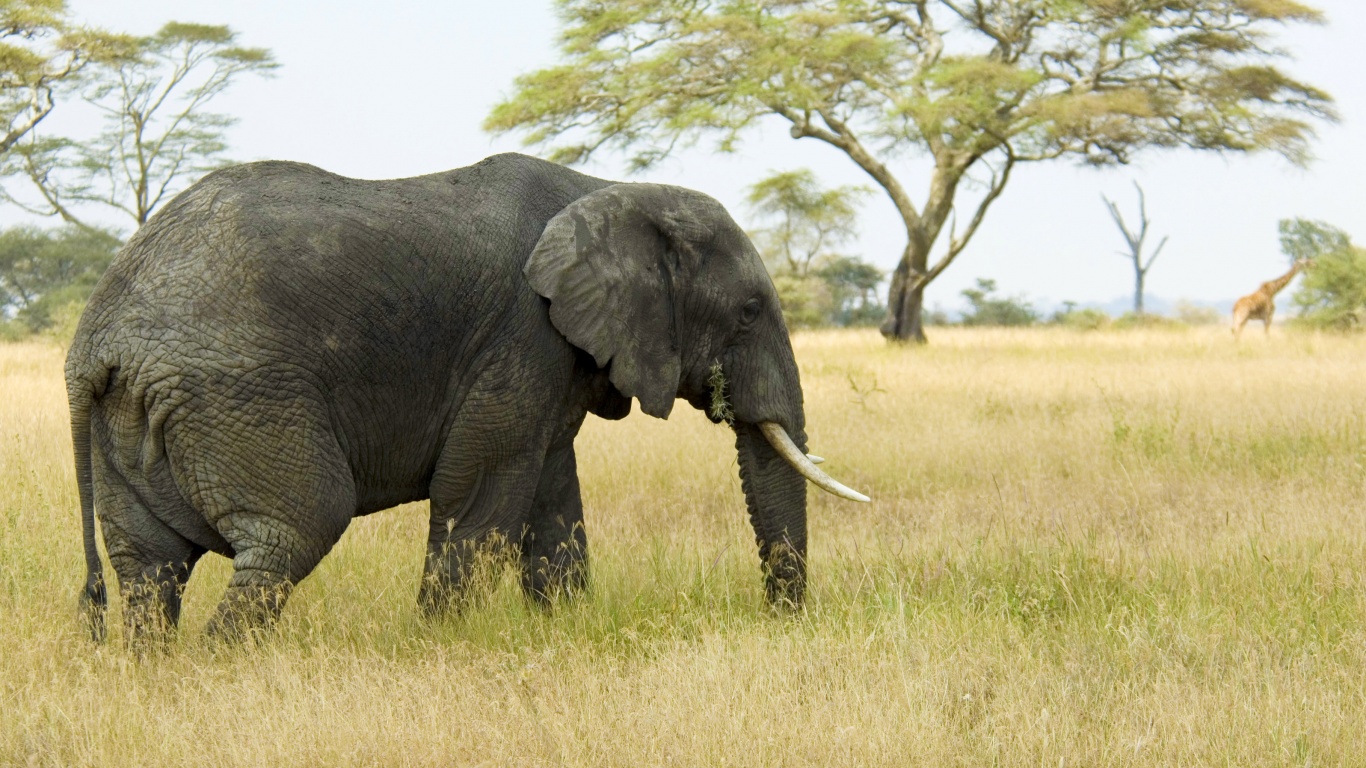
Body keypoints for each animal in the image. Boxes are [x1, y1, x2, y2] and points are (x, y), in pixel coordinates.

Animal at [65, 152, 867, 642]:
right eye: (748, 312)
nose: (781, 621)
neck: (609, 190)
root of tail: (95, 338)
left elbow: (550, 496)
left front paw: (561, 632)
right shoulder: (522, 335)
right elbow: (480, 491)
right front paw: (439, 643)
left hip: (135, 414)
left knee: (150, 566)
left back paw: (159, 673)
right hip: (238, 392)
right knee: (295, 529)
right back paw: (222, 667)